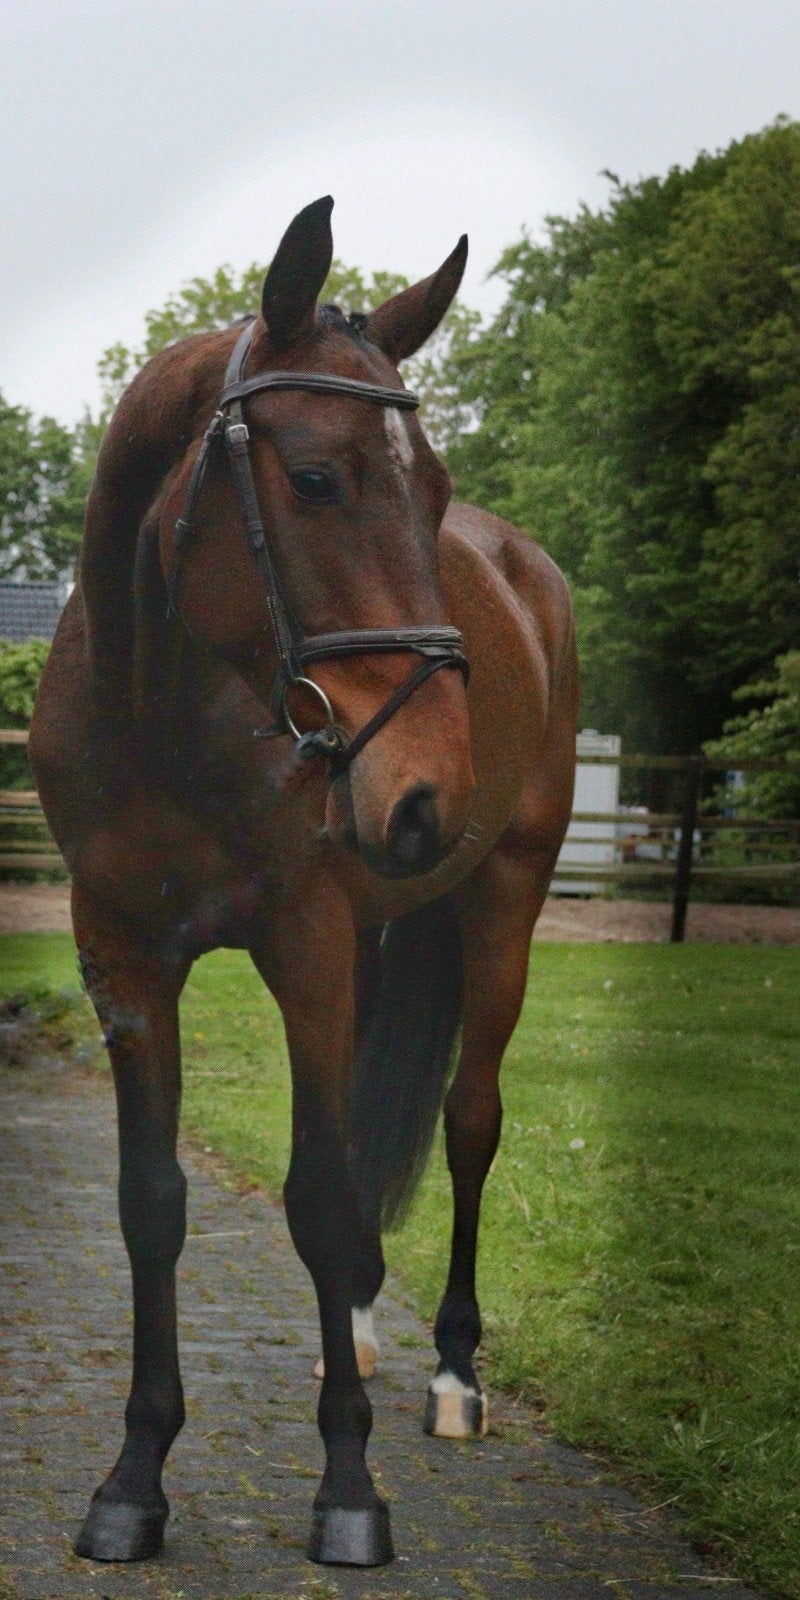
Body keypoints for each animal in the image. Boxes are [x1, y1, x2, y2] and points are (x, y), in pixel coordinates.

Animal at [30, 197, 577, 1570]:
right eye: (318, 477)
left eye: (431, 491)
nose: (428, 790)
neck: (171, 714)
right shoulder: (123, 958)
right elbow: (154, 1201)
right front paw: (135, 1476)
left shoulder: (308, 946)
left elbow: (321, 1192)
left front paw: (348, 1488)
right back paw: (369, 1328)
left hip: (499, 906)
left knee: (470, 1120)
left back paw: (450, 1375)